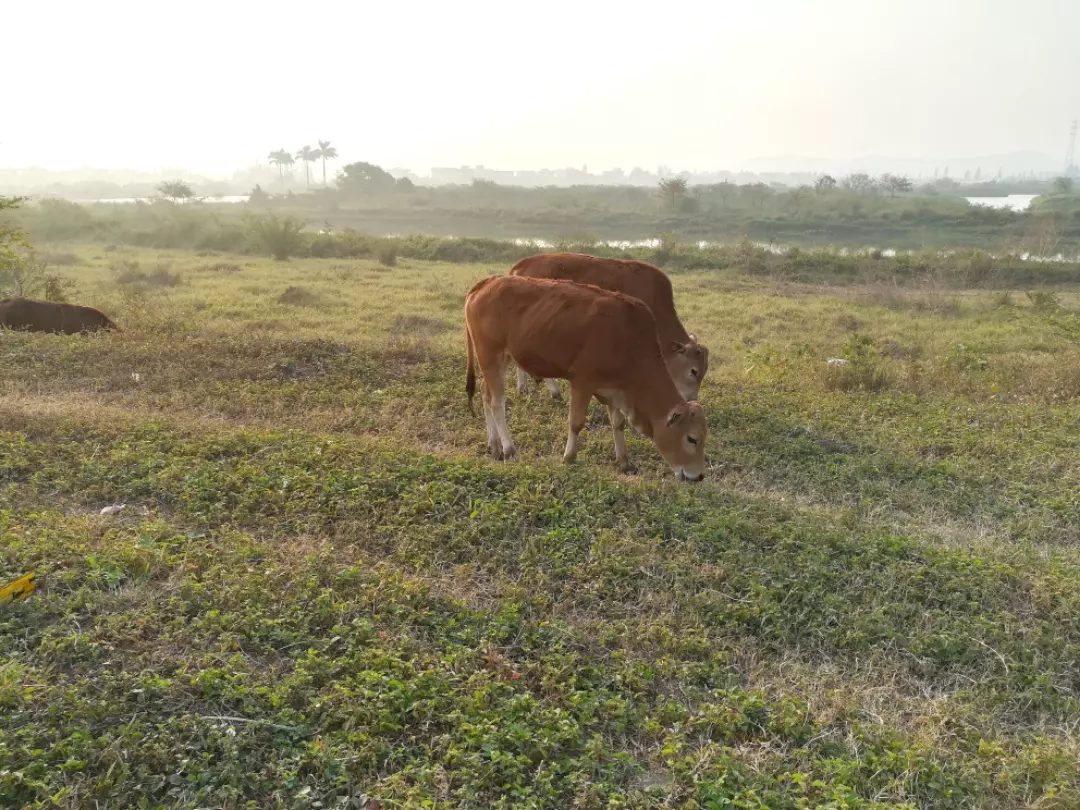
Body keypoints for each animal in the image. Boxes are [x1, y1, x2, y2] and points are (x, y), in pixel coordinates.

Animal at [464, 278, 708, 481]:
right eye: (692, 439)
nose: (698, 476)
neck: (630, 341)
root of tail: (486, 282)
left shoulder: (617, 389)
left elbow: (618, 423)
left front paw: (624, 461)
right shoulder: (582, 382)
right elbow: (576, 422)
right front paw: (569, 457)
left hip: (499, 361)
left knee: (486, 396)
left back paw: (494, 445)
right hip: (490, 356)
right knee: (497, 403)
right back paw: (509, 448)